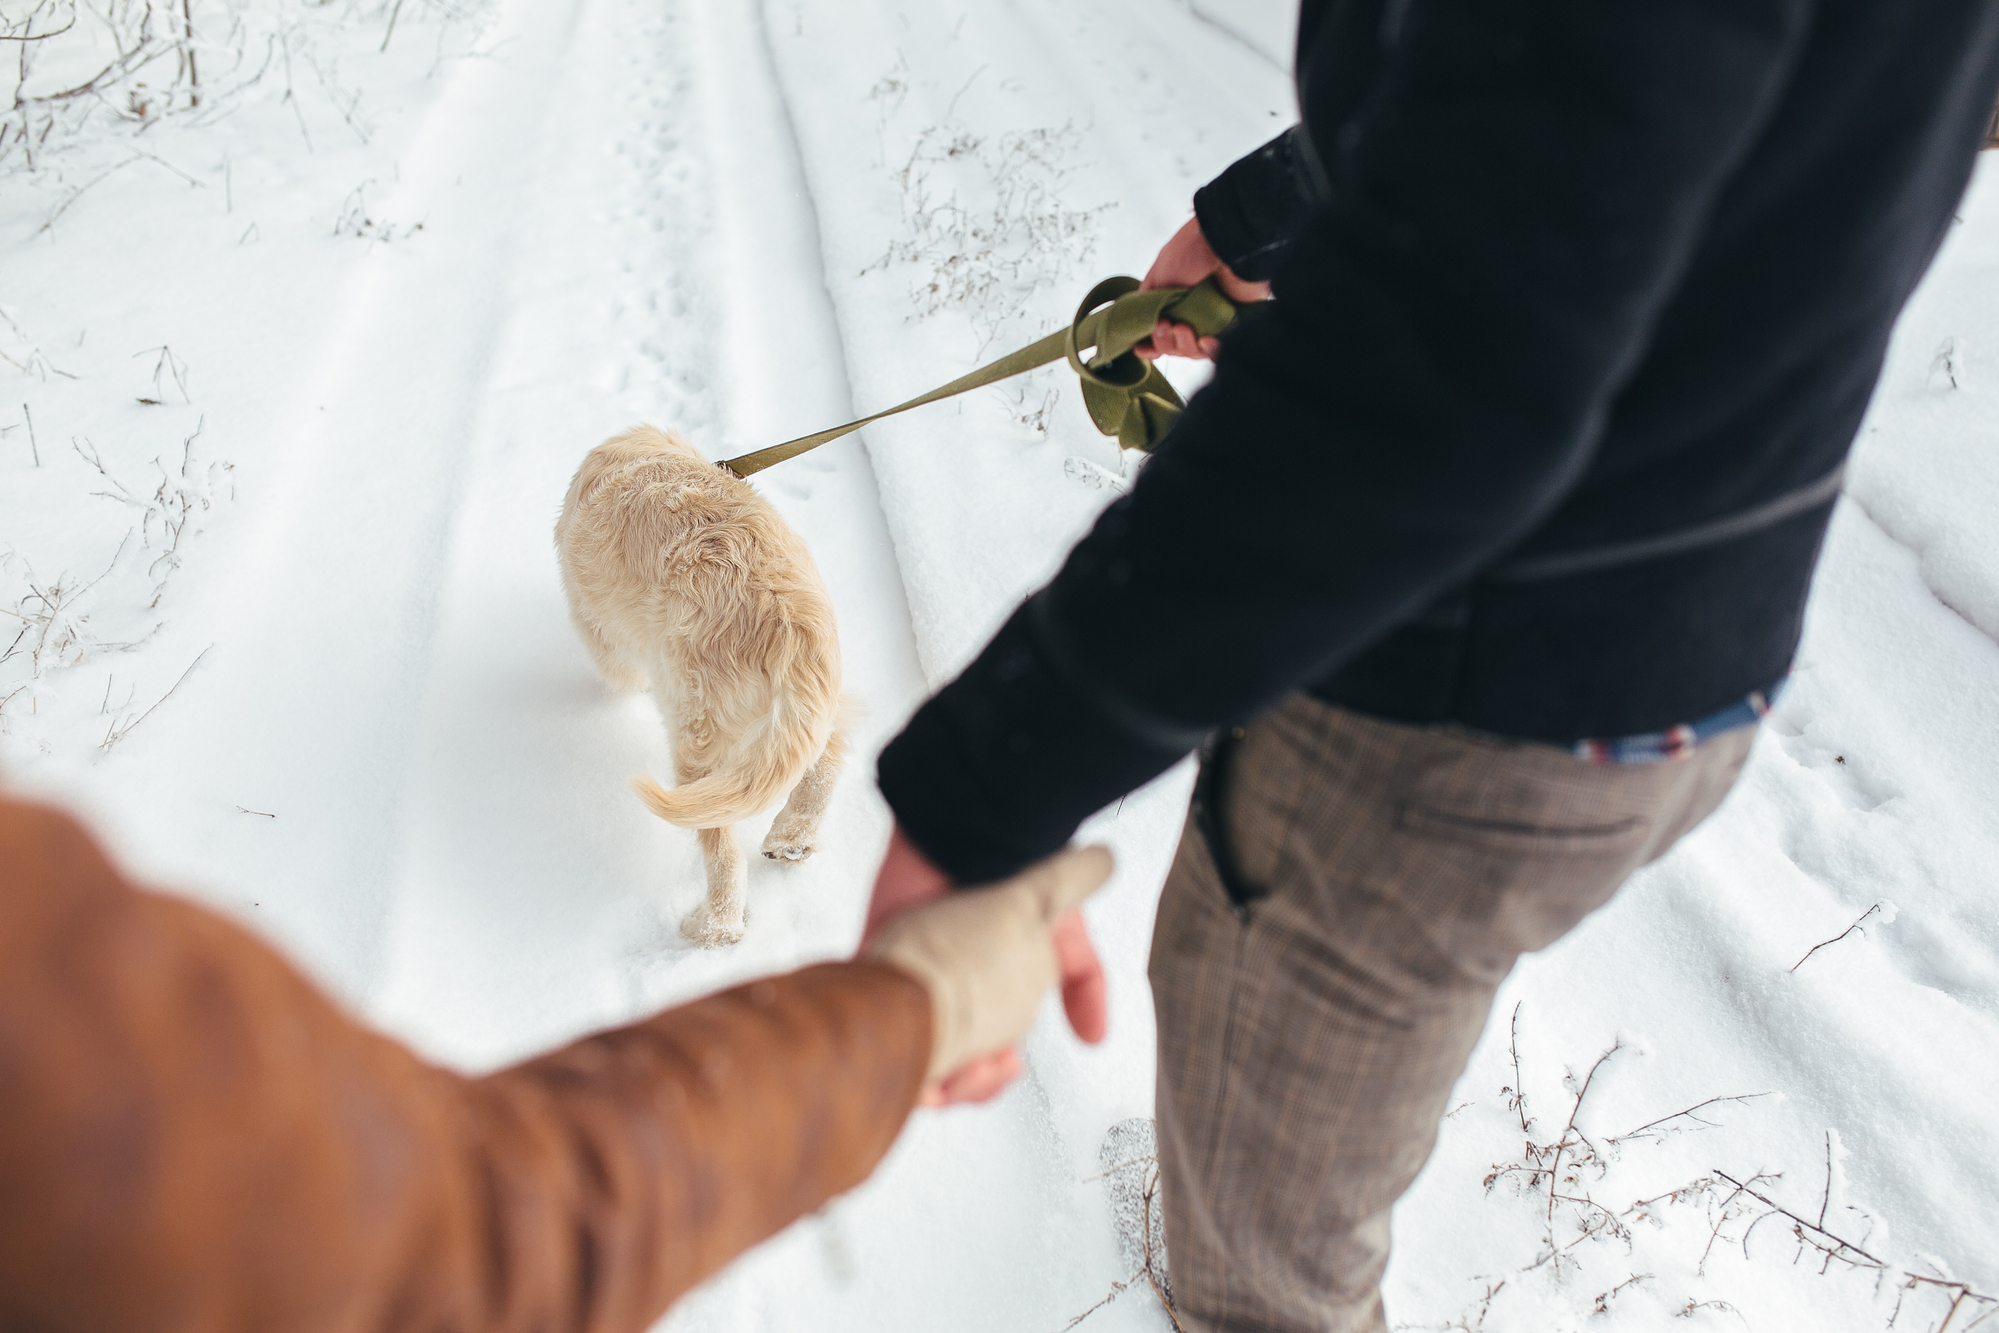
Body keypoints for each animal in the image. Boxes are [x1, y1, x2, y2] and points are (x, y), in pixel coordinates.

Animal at [555, 427, 851, 947]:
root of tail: (784, 617)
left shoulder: (599, 630)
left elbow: (618, 671)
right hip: (814, 703)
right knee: (830, 754)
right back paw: (791, 840)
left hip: (700, 732)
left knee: (724, 851)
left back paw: (714, 927)